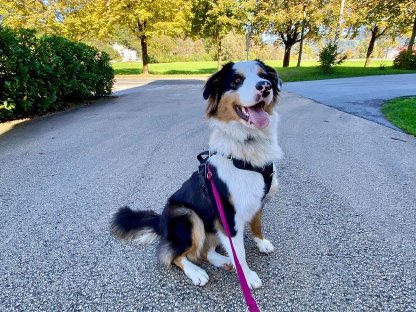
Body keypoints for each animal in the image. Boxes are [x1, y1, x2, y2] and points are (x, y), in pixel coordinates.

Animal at [111, 59, 282, 288]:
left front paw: (261, 243)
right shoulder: (228, 216)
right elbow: (240, 254)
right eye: (236, 81)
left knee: (206, 251)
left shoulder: (257, 201)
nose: (265, 86)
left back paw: (224, 261)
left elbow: (256, 224)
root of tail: (161, 222)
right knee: (175, 255)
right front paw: (247, 276)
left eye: (264, 75)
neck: (248, 146)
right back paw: (197, 272)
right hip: (187, 215)